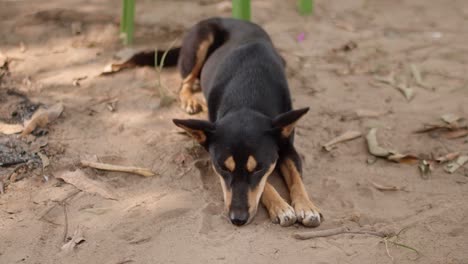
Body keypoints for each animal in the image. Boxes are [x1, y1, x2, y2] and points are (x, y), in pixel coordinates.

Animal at [150, 17, 322, 227]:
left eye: (258, 168)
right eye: (223, 168)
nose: (237, 219)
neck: (248, 95)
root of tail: (227, 18)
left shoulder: (287, 147)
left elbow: (296, 179)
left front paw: (307, 206)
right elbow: (266, 185)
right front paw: (281, 207)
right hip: (200, 42)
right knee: (184, 83)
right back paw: (189, 99)